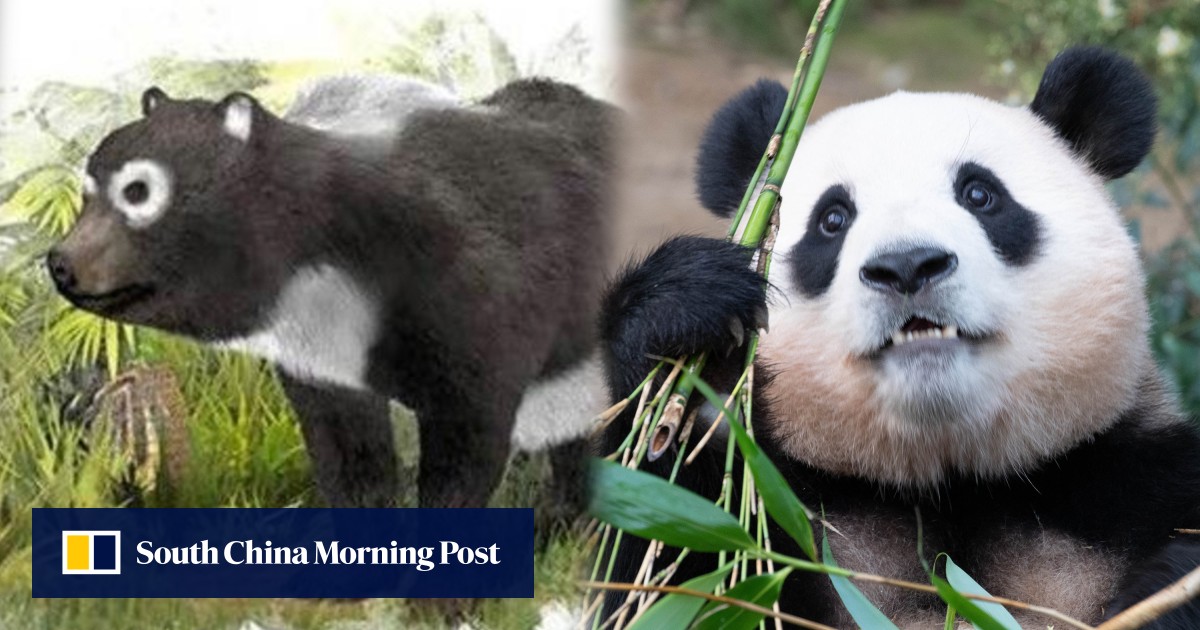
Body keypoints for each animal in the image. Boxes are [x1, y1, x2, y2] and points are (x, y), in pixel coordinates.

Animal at [47, 74, 614, 513]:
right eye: (87, 191)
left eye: (138, 192)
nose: (60, 263)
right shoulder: (323, 352)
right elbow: (349, 453)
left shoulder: (479, 307)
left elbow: (466, 445)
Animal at [598, 47, 1200, 627]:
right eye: (832, 219)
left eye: (980, 194)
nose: (908, 266)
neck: (948, 478)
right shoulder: (780, 502)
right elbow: (656, 564)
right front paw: (679, 307)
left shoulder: (1127, 484)